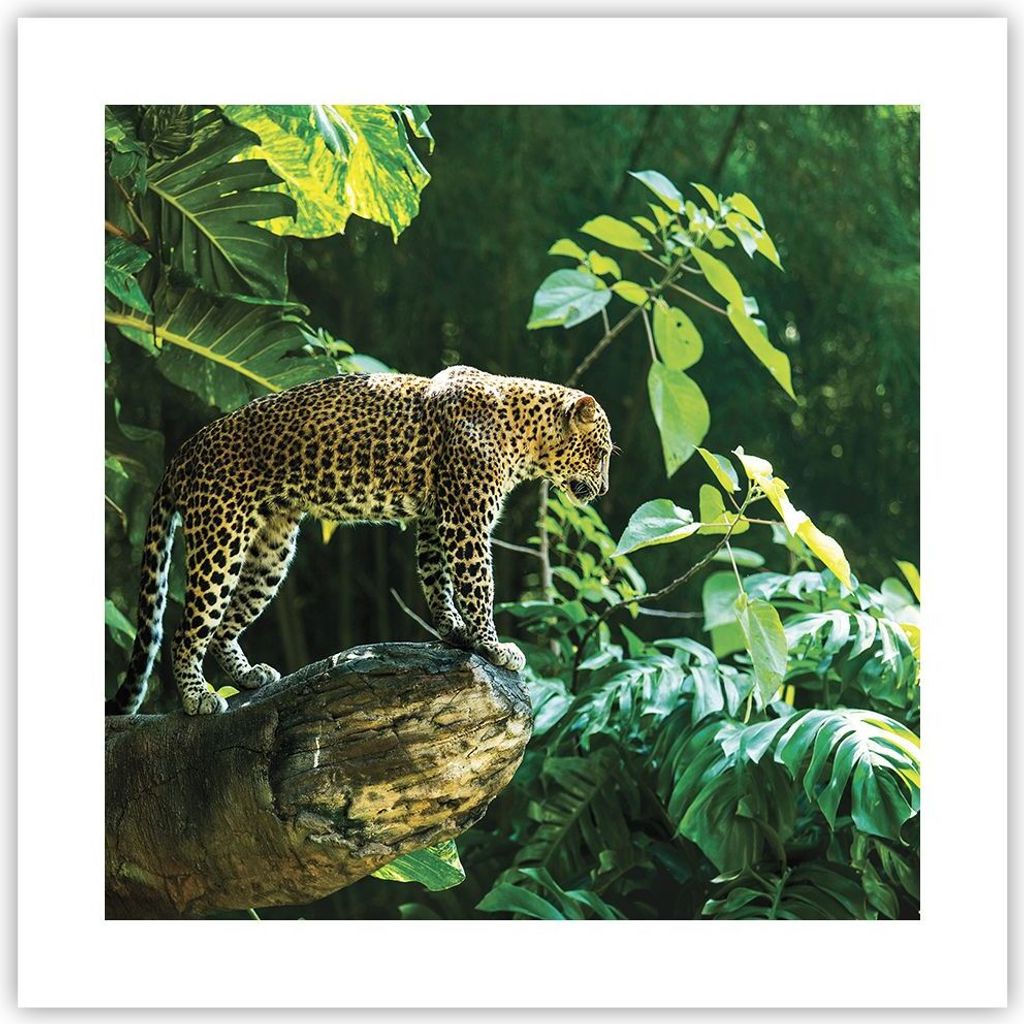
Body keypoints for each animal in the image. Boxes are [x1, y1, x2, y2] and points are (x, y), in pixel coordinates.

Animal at [106, 365, 613, 716]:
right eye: (602, 452)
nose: (606, 489)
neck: (524, 435)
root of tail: (184, 450)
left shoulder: (436, 520)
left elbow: (437, 581)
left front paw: (454, 632)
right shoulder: (465, 523)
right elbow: (478, 586)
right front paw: (494, 647)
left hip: (271, 548)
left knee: (224, 626)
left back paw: (249, 675)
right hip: (221, 537)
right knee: (187, 629)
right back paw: (197, 698)